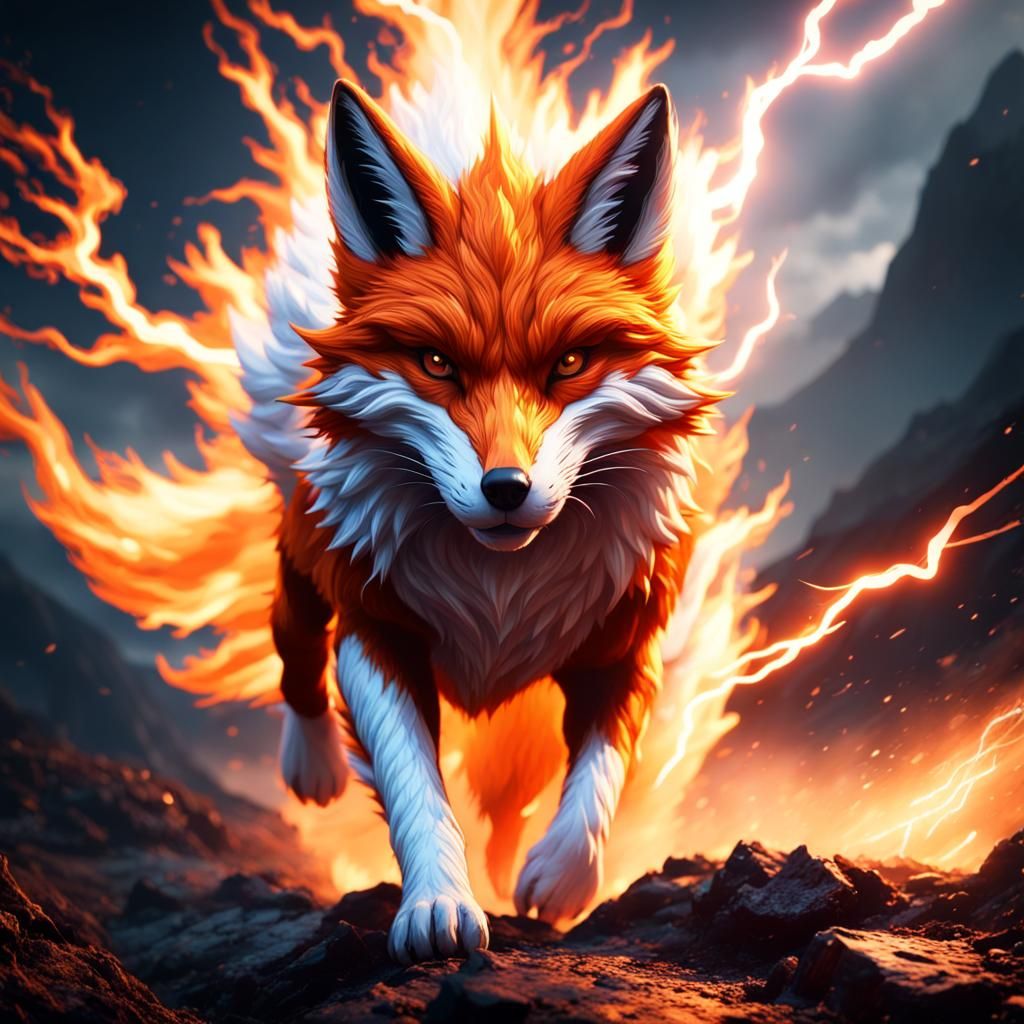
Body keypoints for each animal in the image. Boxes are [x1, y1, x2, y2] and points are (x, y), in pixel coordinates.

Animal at [247, 78, 715, 964]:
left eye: (569, 364)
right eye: (437, 364)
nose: (507, 488)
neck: (500, 590)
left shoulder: (622, 638)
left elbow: (600, 772)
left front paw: (561, 880)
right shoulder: (377, 630)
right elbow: (415, 788)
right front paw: (438, 905)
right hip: (309, 566)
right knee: (292, 647)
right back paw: (310, 765)